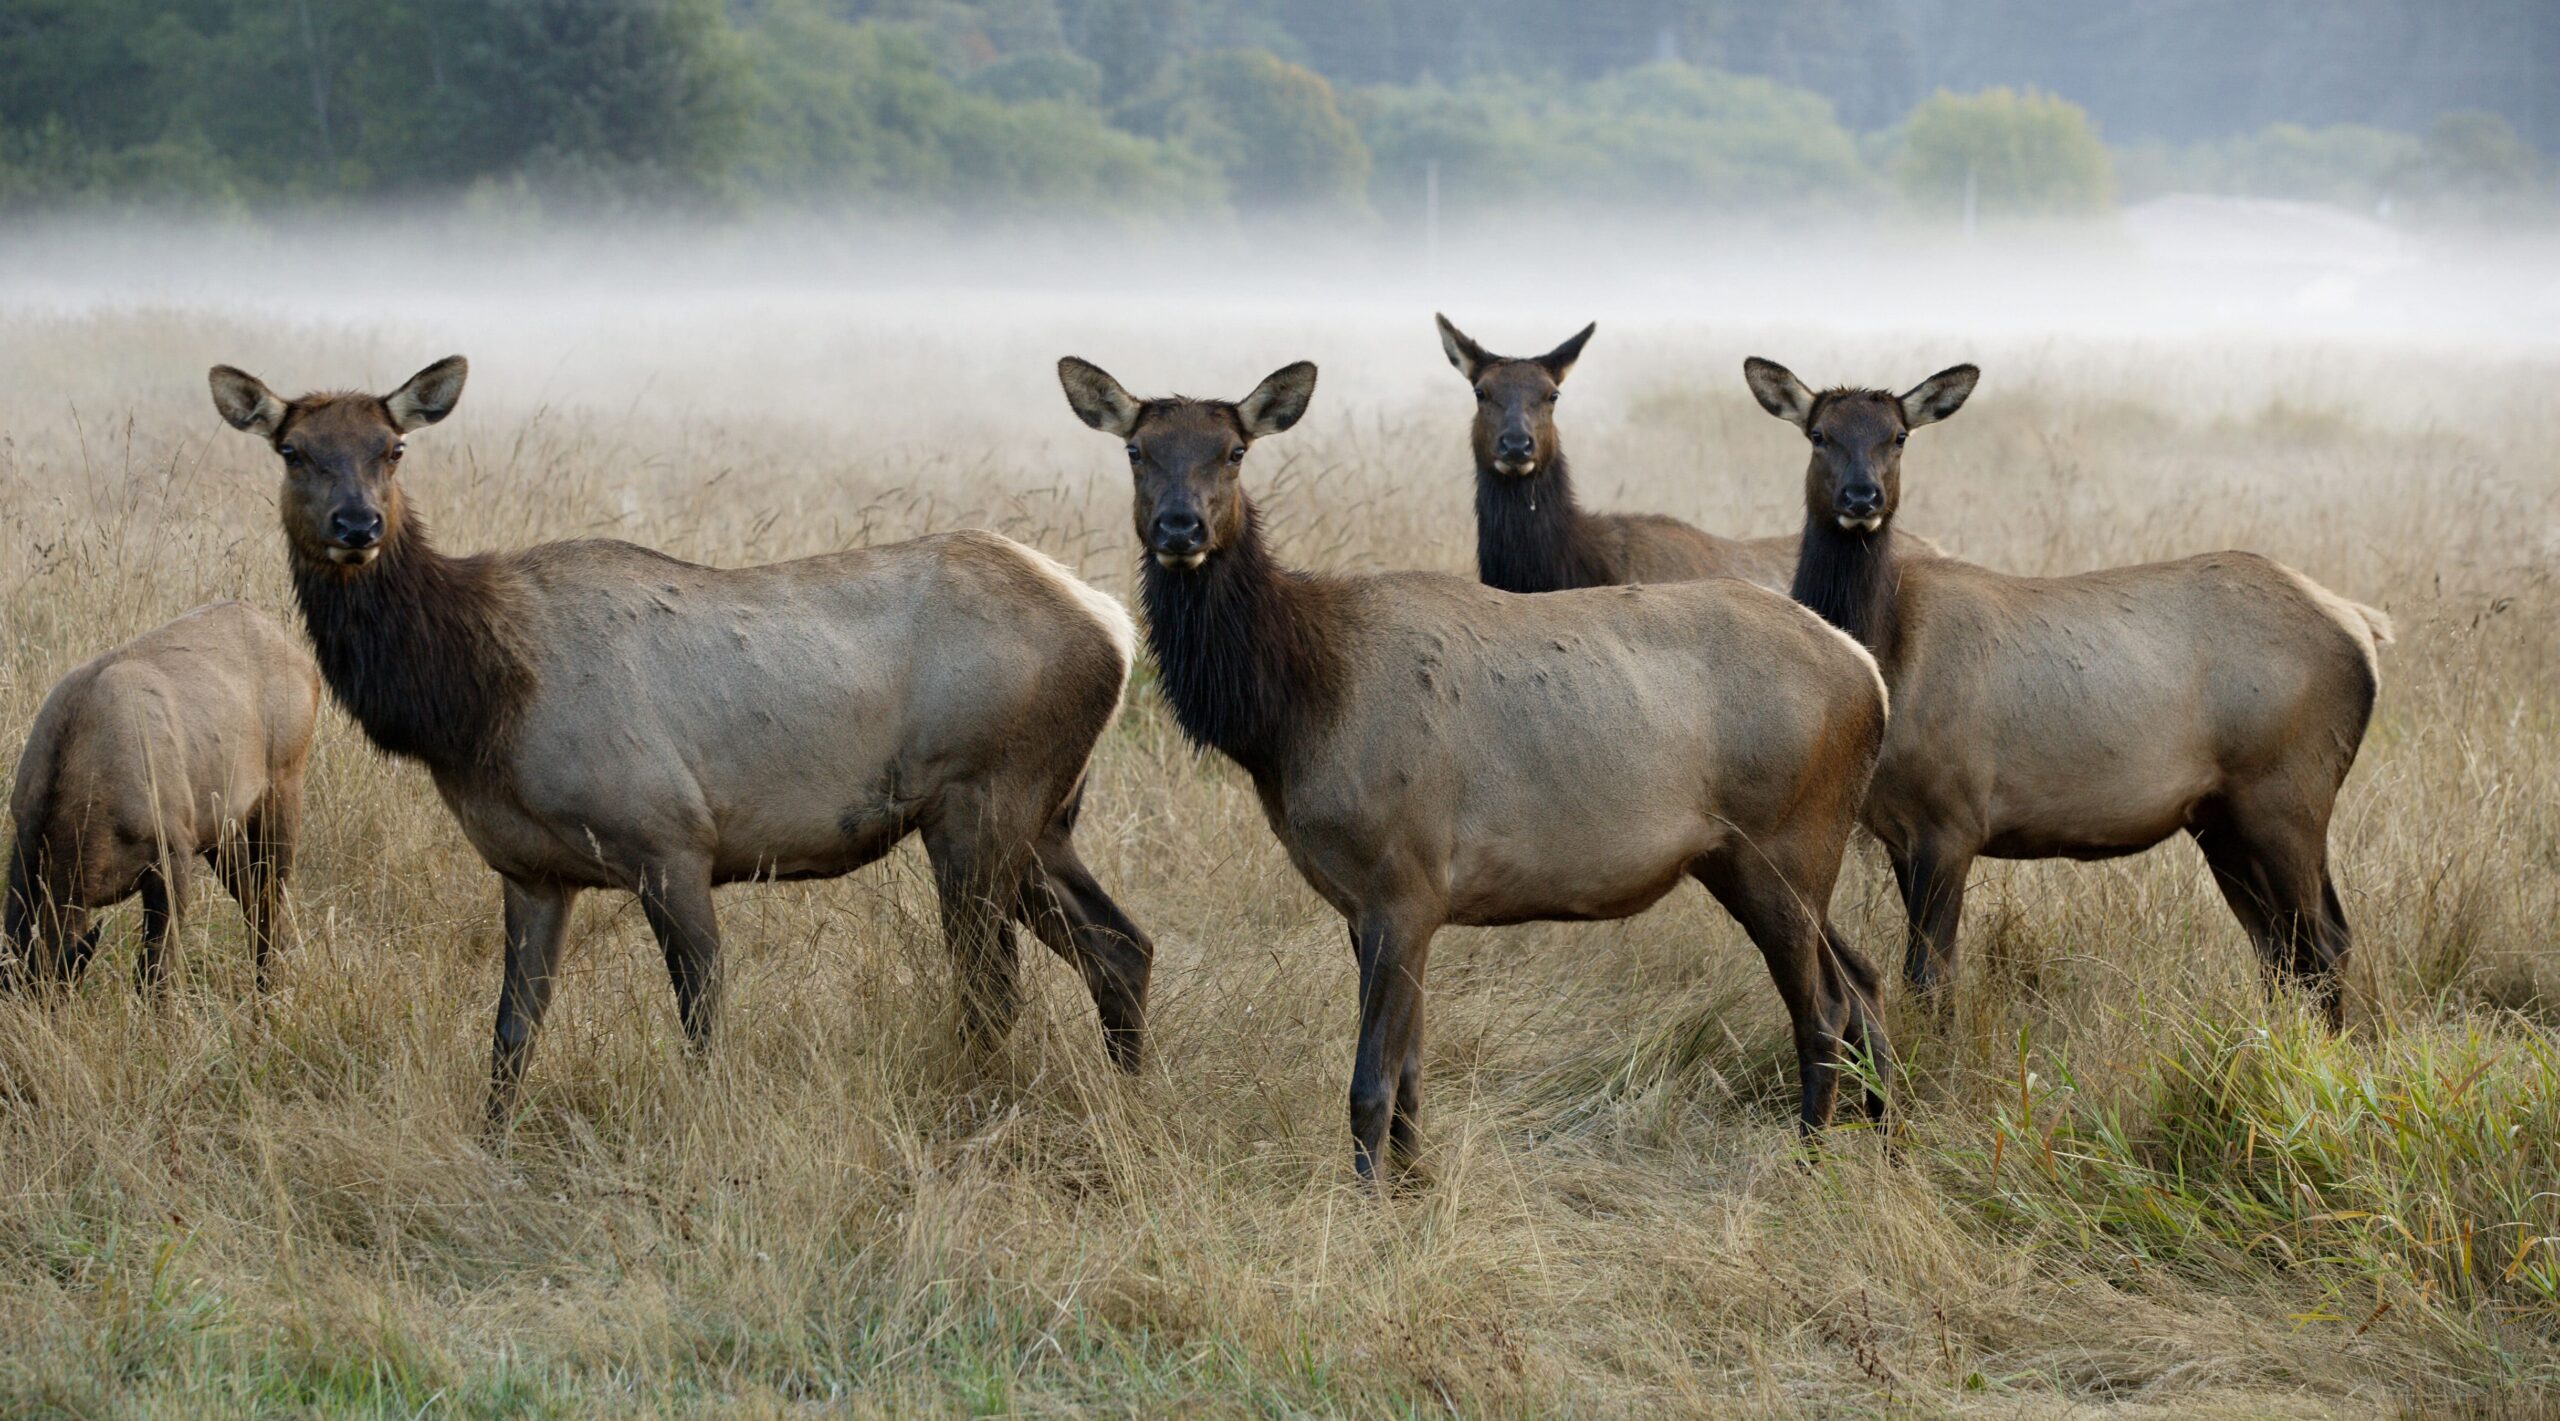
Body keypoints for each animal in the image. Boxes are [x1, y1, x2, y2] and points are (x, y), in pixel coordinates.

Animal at [7, 601, 320, 994]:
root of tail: (309, 668)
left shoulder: (173, 852)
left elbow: (156, 972)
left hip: (284, 785)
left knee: (270, 901)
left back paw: (270, 989)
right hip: (223, 826)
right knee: (252, 902)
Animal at [209, 355, 1154, 1126]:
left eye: (392, 446)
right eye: (294, 451)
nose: (356, 524)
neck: (472, 701)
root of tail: (1113, 625)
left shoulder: (670, 838)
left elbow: (701, 1014)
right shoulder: (531, 868)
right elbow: (511, 1034)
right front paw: (492, 1145)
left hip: (983, 796)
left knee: (994, 985)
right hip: (1043, 817)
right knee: (1121, 946)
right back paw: (1129, 1091)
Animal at [1059, 353, 1893, 1180]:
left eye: (1234, 451)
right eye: (1137, 450)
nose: (1179, 526)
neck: (1293, 711)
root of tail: (1869, 675)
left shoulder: (1404, 878)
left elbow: (1370, 1082)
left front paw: (1371, 1195)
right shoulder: (1375, 901)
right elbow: (1411, 1072)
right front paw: (1416, 1182)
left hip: (1786, 841)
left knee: (1825, 1007)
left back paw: (1809, 1162)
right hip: (1751, 858)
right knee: (1860, 982)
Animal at [1743, 356, 2393, 1024]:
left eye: (1898, 437)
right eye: (1819, 435)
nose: (1861, 497)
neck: (1888, 660)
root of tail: (2363, 627)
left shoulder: (1952, 819)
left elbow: (1930, 977)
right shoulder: (1901, 832)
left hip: (2289, 789)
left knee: (2324, 940)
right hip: (2223, 817)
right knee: (2279, 946)